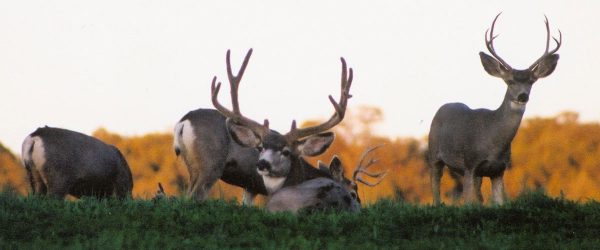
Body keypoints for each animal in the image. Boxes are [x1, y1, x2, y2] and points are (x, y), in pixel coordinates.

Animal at [173, 48, 352, 203]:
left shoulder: (251, 188)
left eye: (286, 151)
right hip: (210, 164)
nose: (262, 163)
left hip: (193, 167)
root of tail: (183, 121)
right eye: (260, 148)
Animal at [428, 13, 560, 205]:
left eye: (531, 82)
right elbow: (467, 202)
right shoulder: (470, 164)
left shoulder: (499, 170)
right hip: (434, 153)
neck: (494, 143)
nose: (523, 96)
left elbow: (498, 202)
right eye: (510, 81)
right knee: (436, 187)